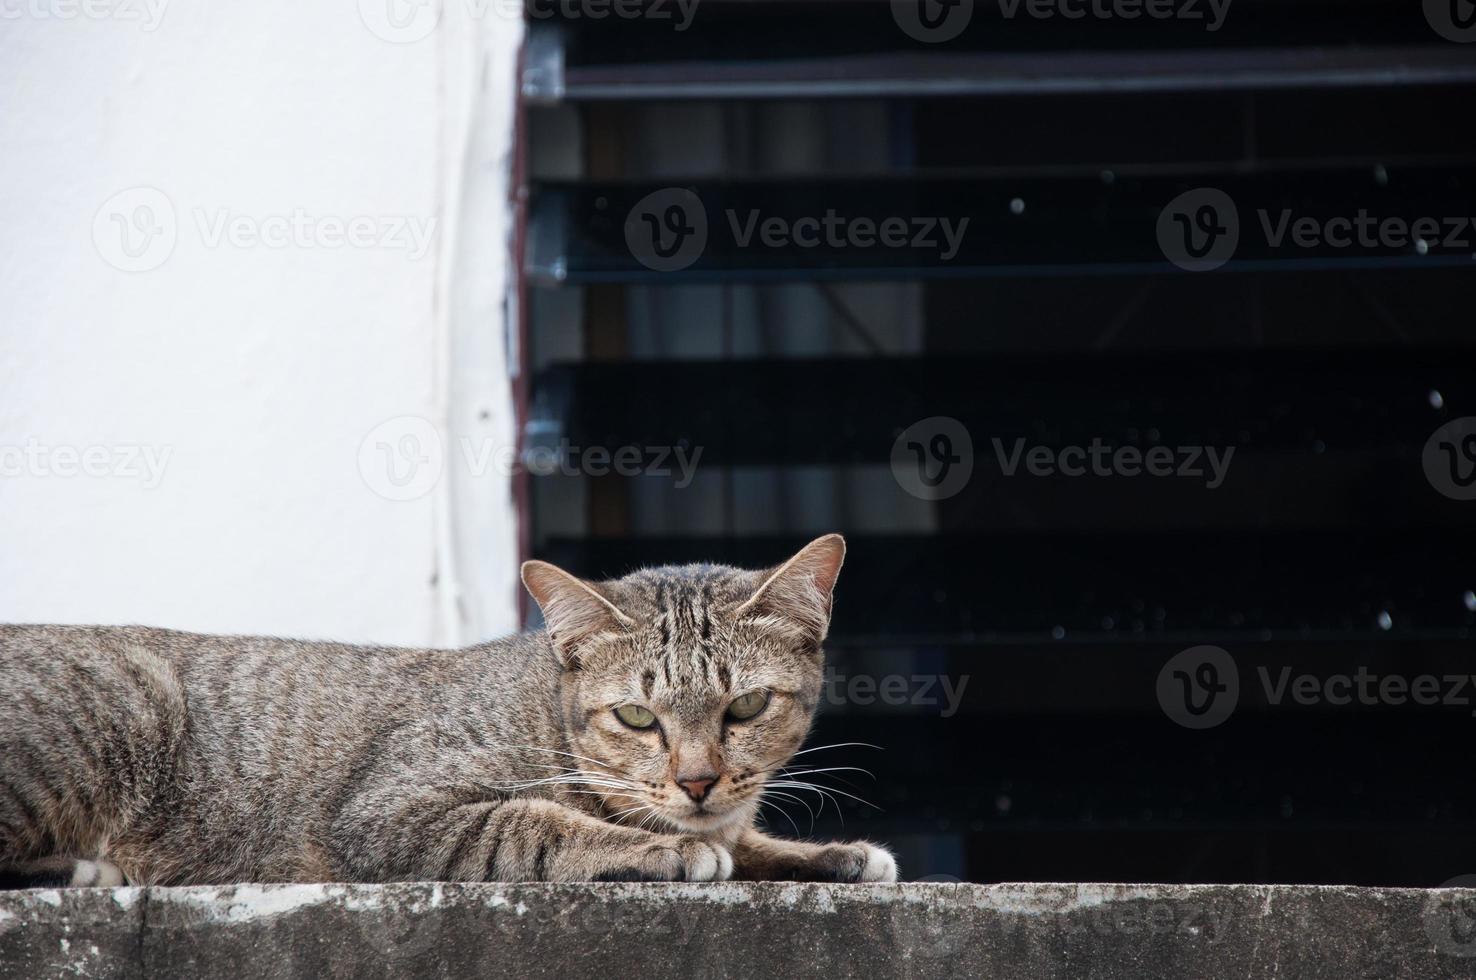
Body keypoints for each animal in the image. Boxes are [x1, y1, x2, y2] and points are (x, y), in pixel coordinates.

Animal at [0, 537, 891, 885]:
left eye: (746, 705)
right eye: (638, 718)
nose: (699, 780)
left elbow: (754, 844)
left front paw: (828, 854)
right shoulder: (391, 813)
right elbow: (535, 825)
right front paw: (666, 849)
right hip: (125, 698)